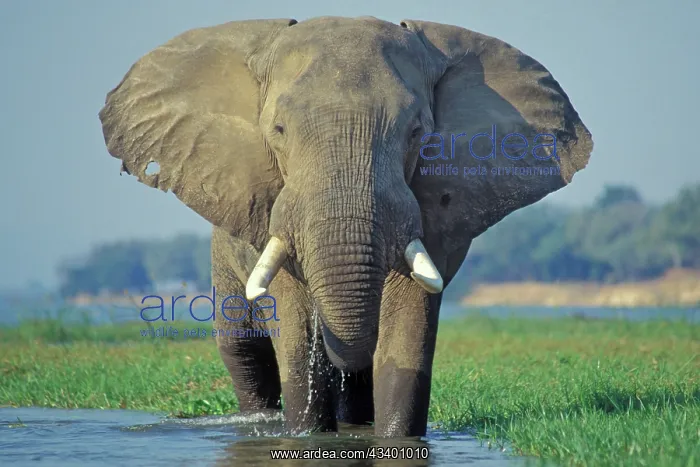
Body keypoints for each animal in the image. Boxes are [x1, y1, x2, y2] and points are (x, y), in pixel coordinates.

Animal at [99, 16, 593, 437]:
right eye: (278, 129)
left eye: (417, 132)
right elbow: (294, 319)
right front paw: (305, 435)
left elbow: (406, 321)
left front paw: (394, 437)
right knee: (243, 350)